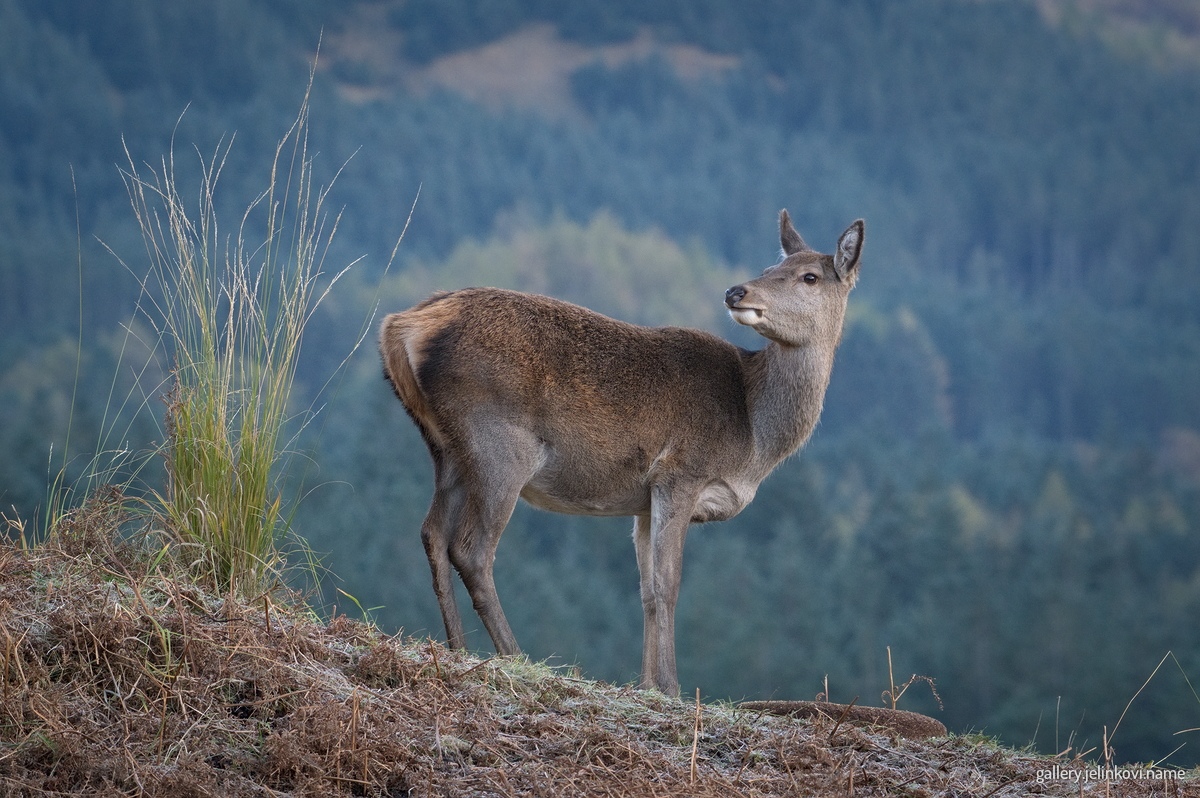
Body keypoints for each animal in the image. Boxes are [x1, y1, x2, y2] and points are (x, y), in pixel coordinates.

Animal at [380, 210, 864, 696]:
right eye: (769, 268)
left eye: (809, 276)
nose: (736, 291)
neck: (752, 437)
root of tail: (401, 325)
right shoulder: (680, 473)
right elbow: (669, 584)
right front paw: (672, 687)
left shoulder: (642, 501)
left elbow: (647, 591)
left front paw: (647, 684)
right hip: (498, 444)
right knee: (472, 550)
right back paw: (516, 657)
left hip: (446, 448)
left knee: (432, 533)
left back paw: (457, 649)